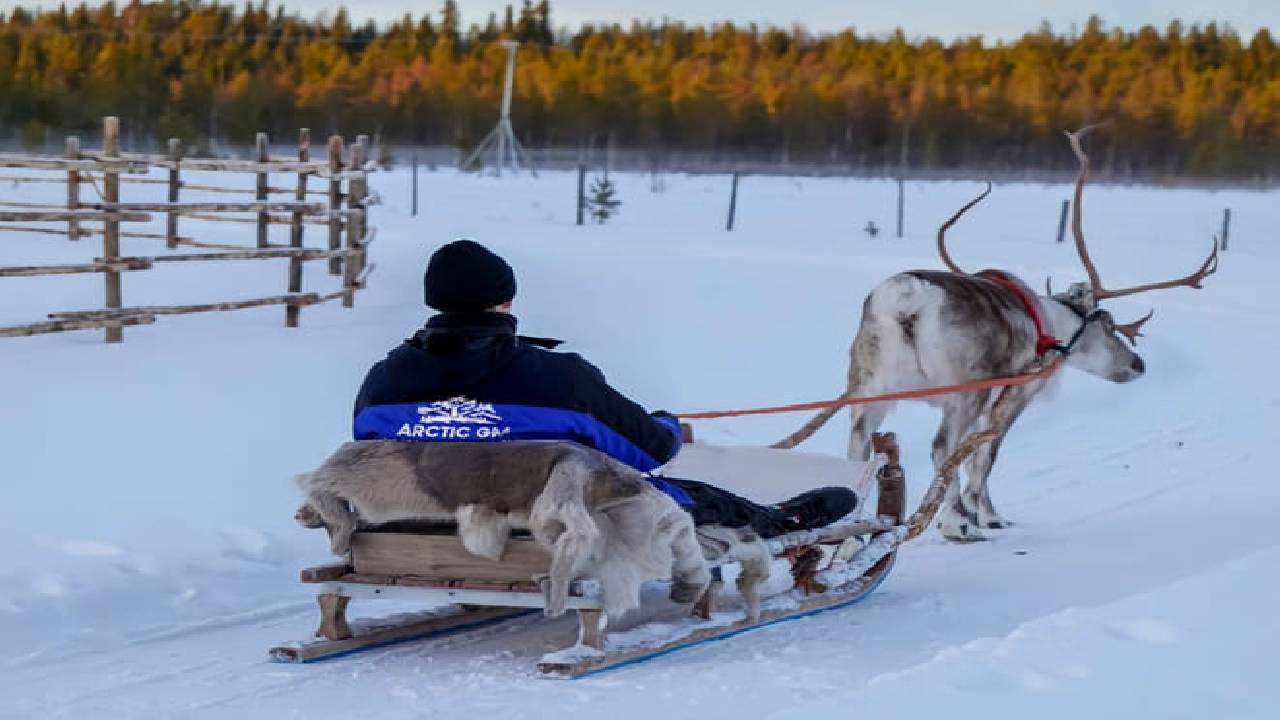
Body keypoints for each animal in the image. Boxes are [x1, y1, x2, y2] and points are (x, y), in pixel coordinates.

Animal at [772, 125, 1218, 541]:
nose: (1139, 364)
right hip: (963, 389)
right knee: (942, 447)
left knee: (860, 447)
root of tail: (906, 299)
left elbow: (974, 455)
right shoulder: (1014, 393)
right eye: (1107, 325)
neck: (1052, 327)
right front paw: (985, 515)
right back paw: (955, 524)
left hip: (869, 385)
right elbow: (985, 456)